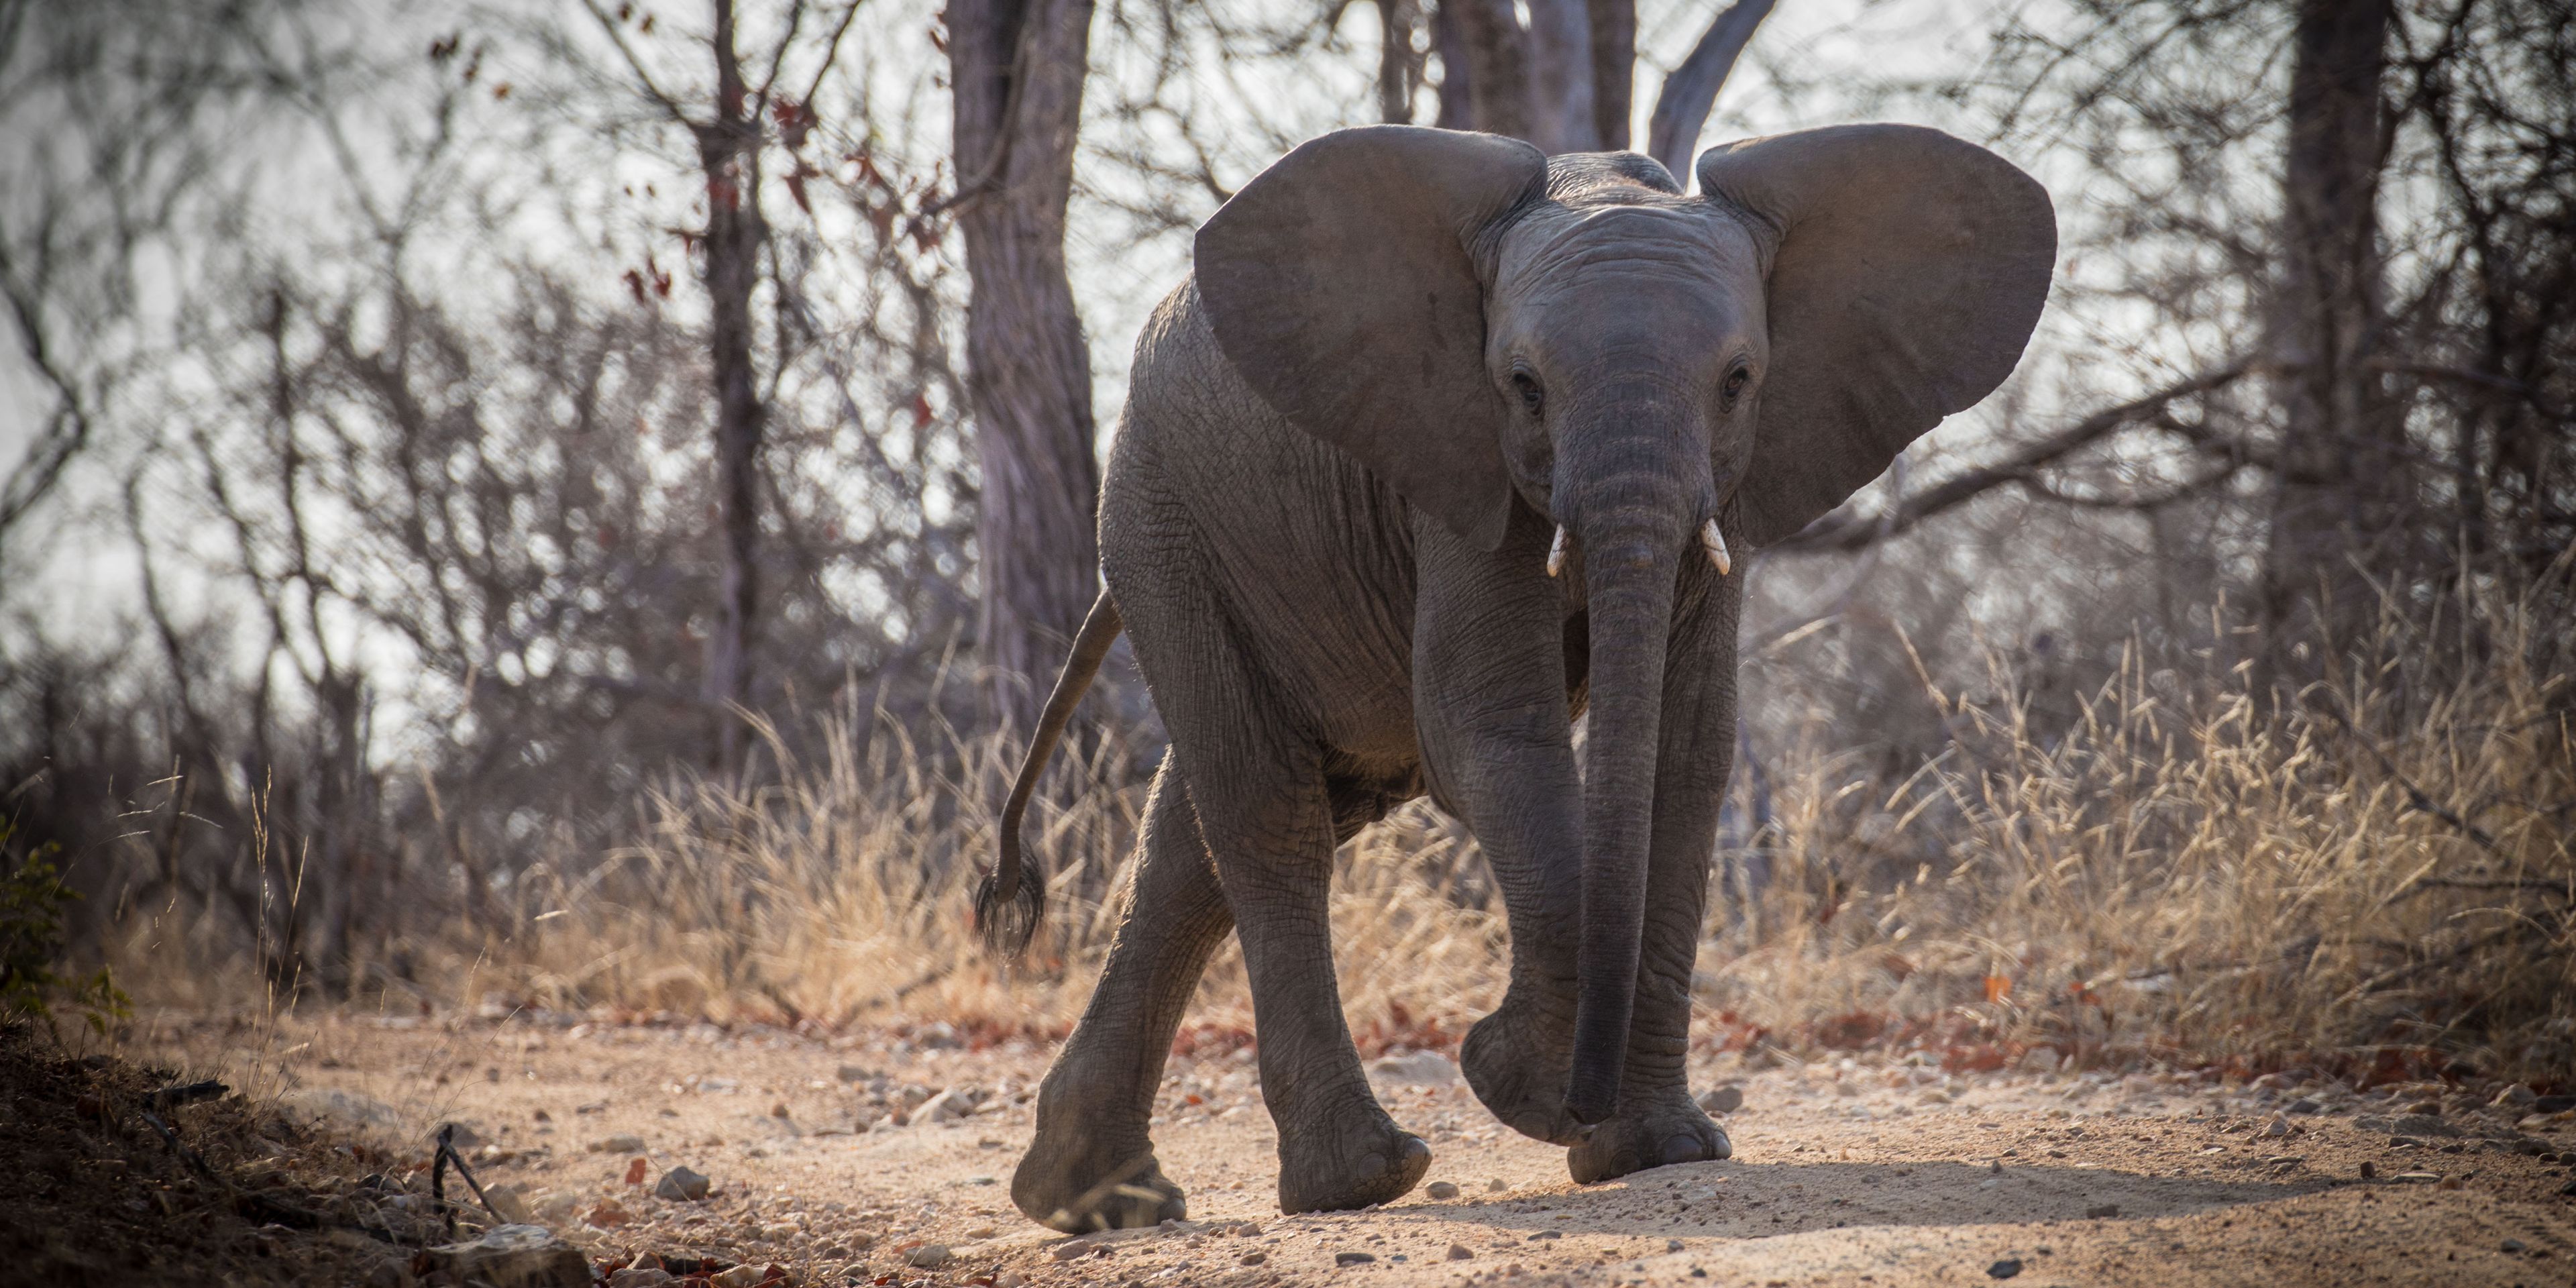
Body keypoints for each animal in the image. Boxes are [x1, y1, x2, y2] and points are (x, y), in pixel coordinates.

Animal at [974, 122, 2054, 1231]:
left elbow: (1688, 751)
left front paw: (1655, 1151)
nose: (1581, 1098)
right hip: (1164, 524)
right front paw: (1523, 1090)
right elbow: (1485, 730)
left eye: (1740, 380)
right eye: (1525, 385)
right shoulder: (1454, 463)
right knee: (1268, 814)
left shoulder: (1736, 488)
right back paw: (1359, 1180)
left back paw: (1093, 1199)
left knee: (1197, 842)